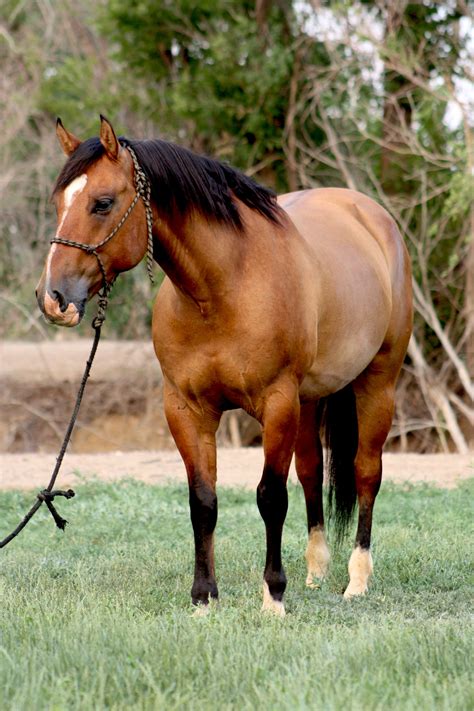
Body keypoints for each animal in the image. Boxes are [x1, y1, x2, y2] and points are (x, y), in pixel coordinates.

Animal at [36, 116, 413, 615]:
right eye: (59, 202)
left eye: (102, 203)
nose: (53, 298)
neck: (223, 288)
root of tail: (372, 216)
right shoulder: (186, 409)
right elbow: (203, 501)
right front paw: (204, 597)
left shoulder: (277, 403)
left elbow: (271, 497)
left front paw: (273, 596)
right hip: (310, 398)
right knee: (312, 473)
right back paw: (315, 573)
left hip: (377, 384)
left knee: (366, 471)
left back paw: (357, 580)